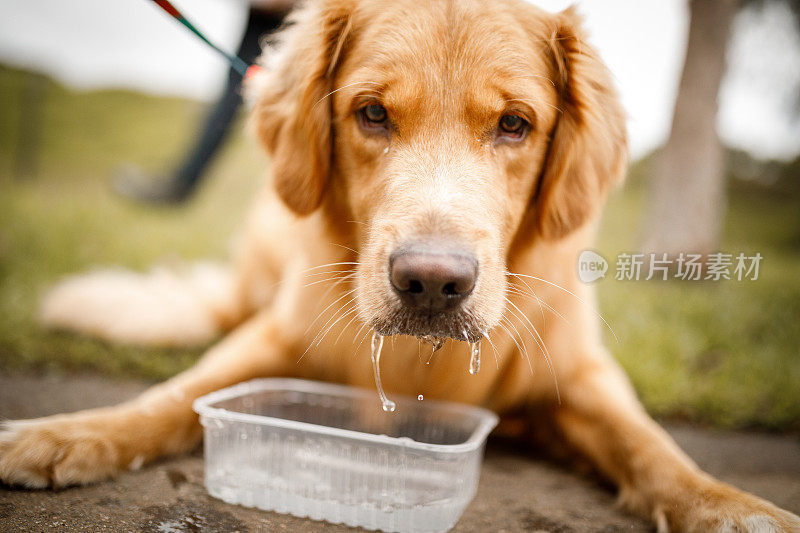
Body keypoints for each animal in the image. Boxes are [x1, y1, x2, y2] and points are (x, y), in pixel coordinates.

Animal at [1, 0, 800, 528]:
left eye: (516, 124)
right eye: (373, 113)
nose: (432, 284)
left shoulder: (582, 374)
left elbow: (654, 446)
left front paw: (734, 506)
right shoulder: (276, 336)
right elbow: (169, 398)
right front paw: (61, 434)